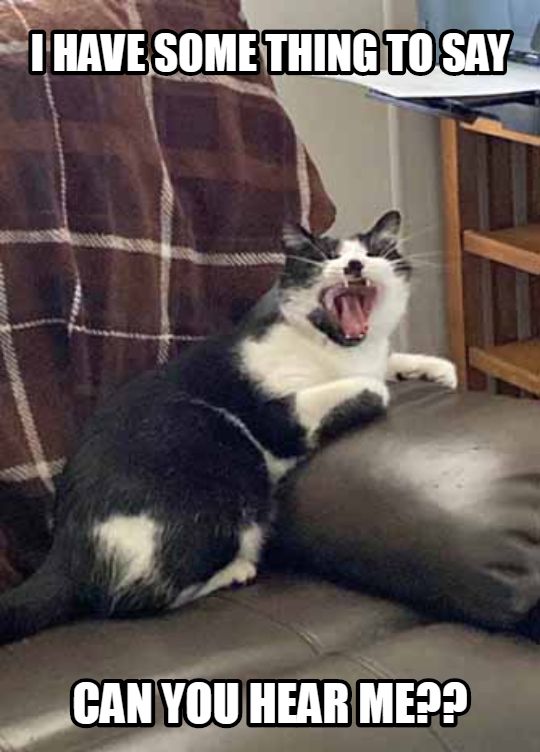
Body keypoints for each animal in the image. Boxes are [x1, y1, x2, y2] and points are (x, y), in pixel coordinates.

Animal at [0, 210, 456, 644]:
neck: (337, 349)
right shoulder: (278, 415)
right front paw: (382, 384)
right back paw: (235, 571)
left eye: (375, 251)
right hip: (223, 479)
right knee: (132, 597)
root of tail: (63, 550)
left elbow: (390, 362)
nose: (355, 265)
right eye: (324, 257)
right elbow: (373, 387)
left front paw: (437, 371)